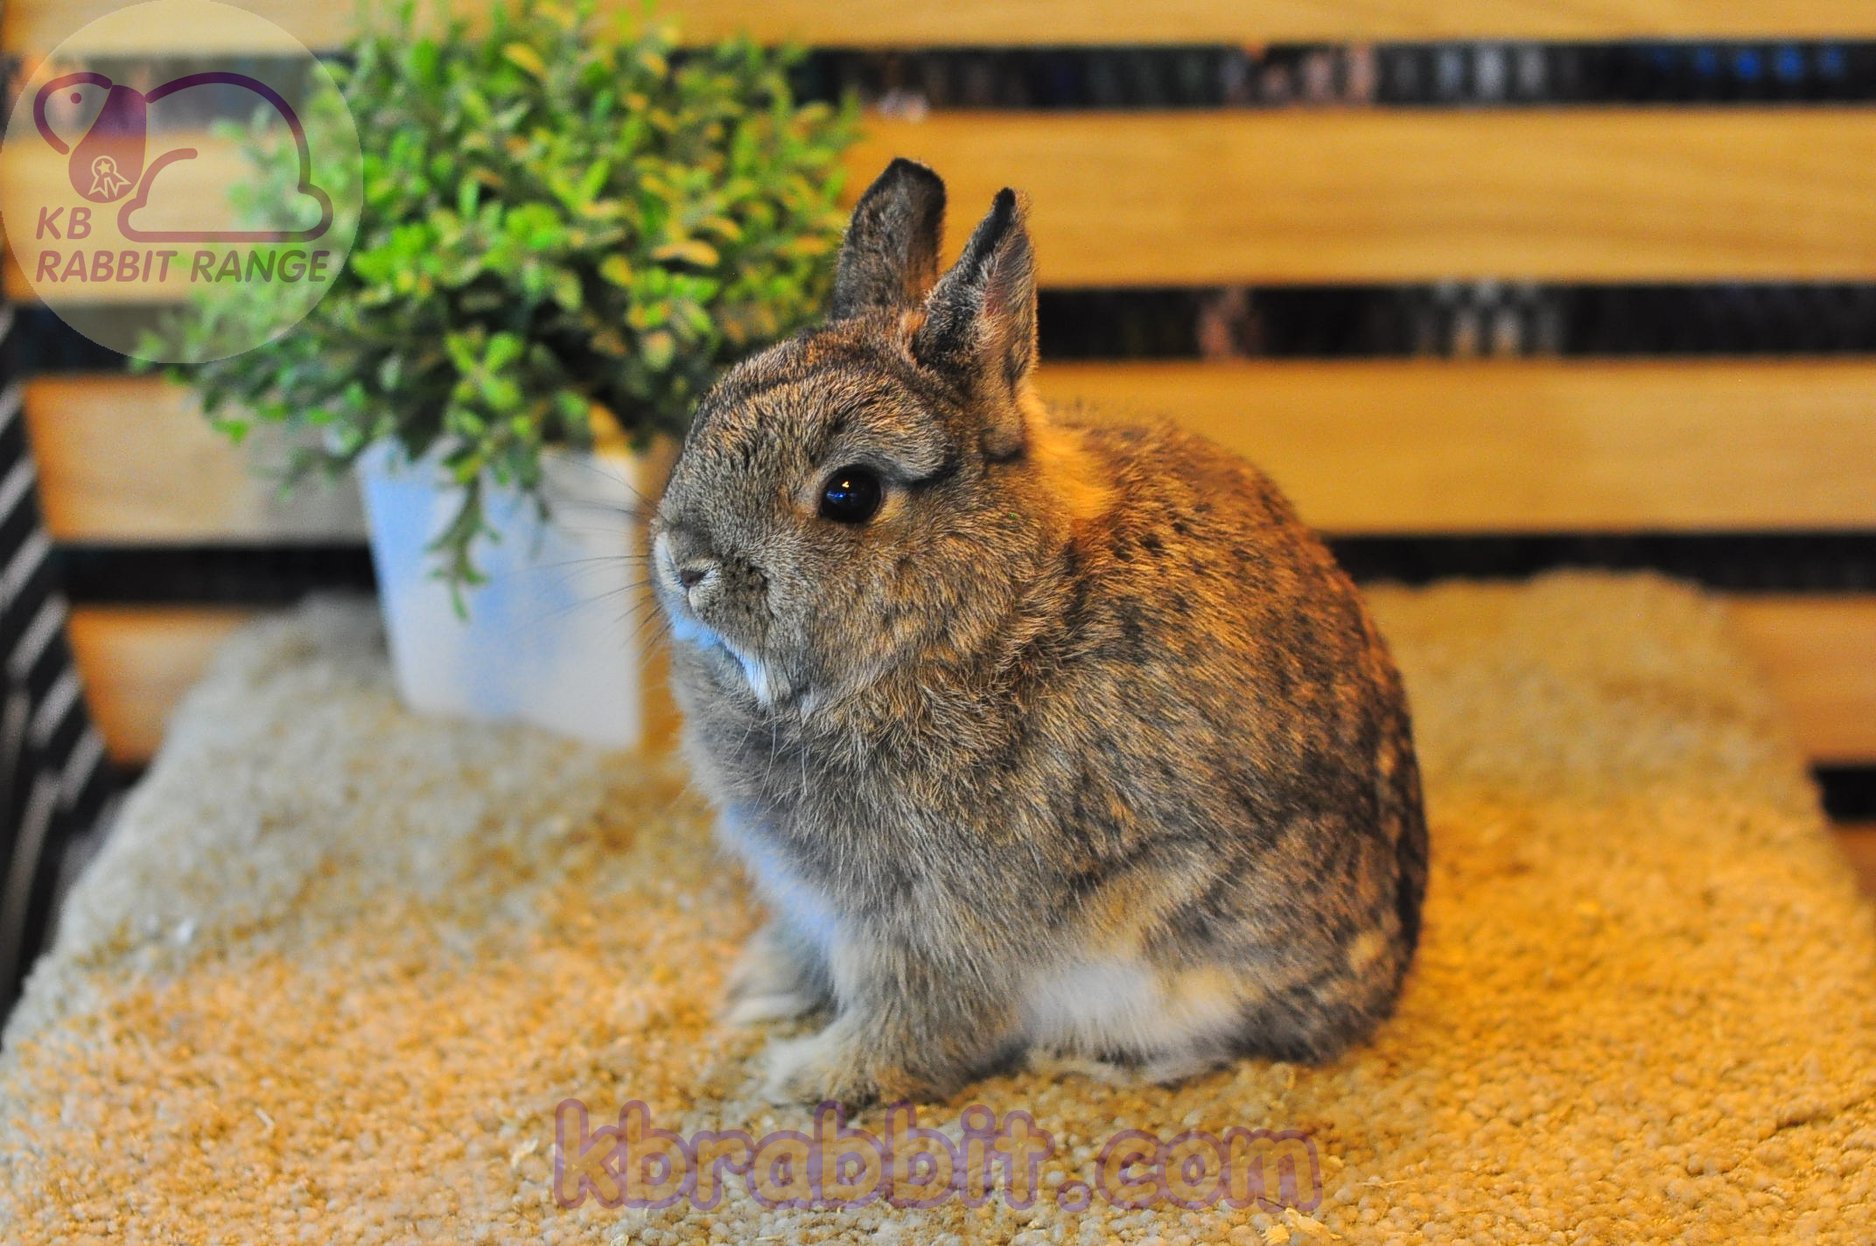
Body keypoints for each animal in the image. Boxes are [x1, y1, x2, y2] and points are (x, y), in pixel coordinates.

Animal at [650, 158, 1429, 1106]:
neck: (978, 618)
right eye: (711, 406)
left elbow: (916, 1019)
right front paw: (755, 994)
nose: (685, 564)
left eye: (849, 494)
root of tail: (1382, 982)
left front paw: (808, 1078)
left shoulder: (931, 918)